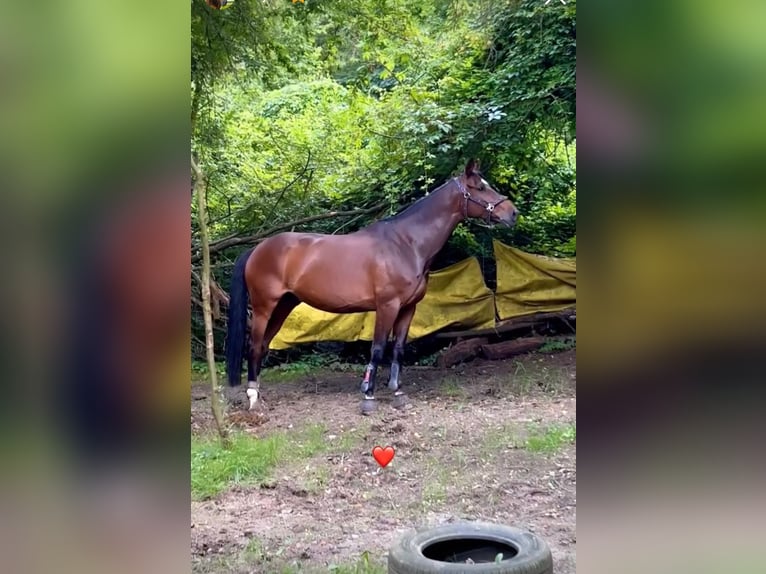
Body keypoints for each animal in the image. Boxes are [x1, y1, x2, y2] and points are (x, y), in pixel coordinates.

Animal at [225, 159, 519, 412]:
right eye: (480, 187)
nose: (512, 213)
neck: (405, 244)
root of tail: (257, 249)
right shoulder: (387, 306)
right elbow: (377, 348)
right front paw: (368, 395)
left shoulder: (408, 308)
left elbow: (398, 349)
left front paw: (397, 392)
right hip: (264, 306)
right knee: (254, 345)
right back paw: (252, 397)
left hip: (284, 305)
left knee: (264, 345)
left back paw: (259, 393)